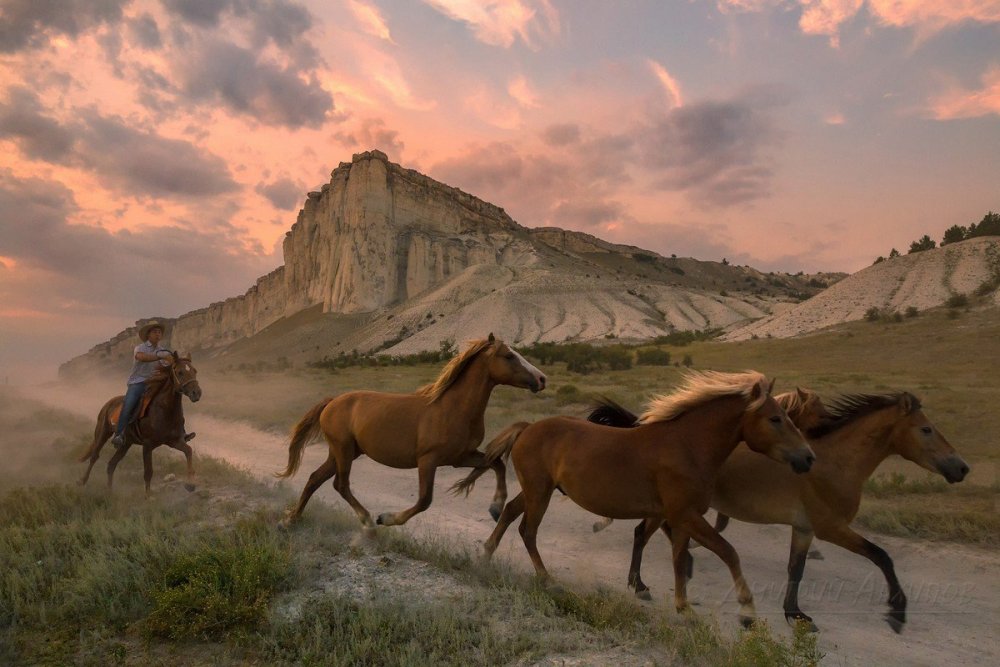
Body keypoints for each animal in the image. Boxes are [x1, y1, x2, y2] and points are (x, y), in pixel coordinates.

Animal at [79, 352, 203, 494]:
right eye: (180, 372)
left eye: (194, 371)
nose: (196, 393)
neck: (164, 410)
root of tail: (109, 403)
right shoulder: (148, 445)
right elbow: (148, 472)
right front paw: (148, 496)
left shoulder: (174, 441)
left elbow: (188, 451)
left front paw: (190, 484)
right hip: (102, 432)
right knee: (94, 455)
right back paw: (82, 481)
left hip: (126, 443)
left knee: (111, 464)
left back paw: (109, 492)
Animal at [276, 336, 548, 528]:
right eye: (509, 356)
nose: (541, 379)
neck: (452, 408)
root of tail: (332, 402)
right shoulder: (428, 460)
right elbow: (424, 500)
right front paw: (386, 519)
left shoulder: (460, 457)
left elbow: (497, 465)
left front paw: (495, 508)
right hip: (343, 451)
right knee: (340, 485)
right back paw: (367, 520)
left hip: (344, 452)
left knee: (315, 479)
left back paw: (291, 519)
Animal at [458, 370, 816, 628]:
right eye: (775, 418)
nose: (808, 457)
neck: (687, 447)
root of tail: (528, 427)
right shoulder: (686, 515)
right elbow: (728, 552)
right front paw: (747, 610)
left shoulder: (679, 517)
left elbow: (678, 559)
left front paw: (682, 608)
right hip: (540, 493)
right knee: (528, 531)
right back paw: (546, 579)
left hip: (537, 490)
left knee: (509, 513)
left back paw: (486, 557)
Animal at [592, 394, 968, 636]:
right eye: (926, 429)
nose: (962, 468)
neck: (833, 464)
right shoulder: (831, 528)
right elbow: (882, 556)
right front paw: (897, 612)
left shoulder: (804, 529)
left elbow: (795, 570)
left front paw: (795, 615)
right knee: (644, 533)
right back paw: (642, 583)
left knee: (650, 533)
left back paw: (664, 573)